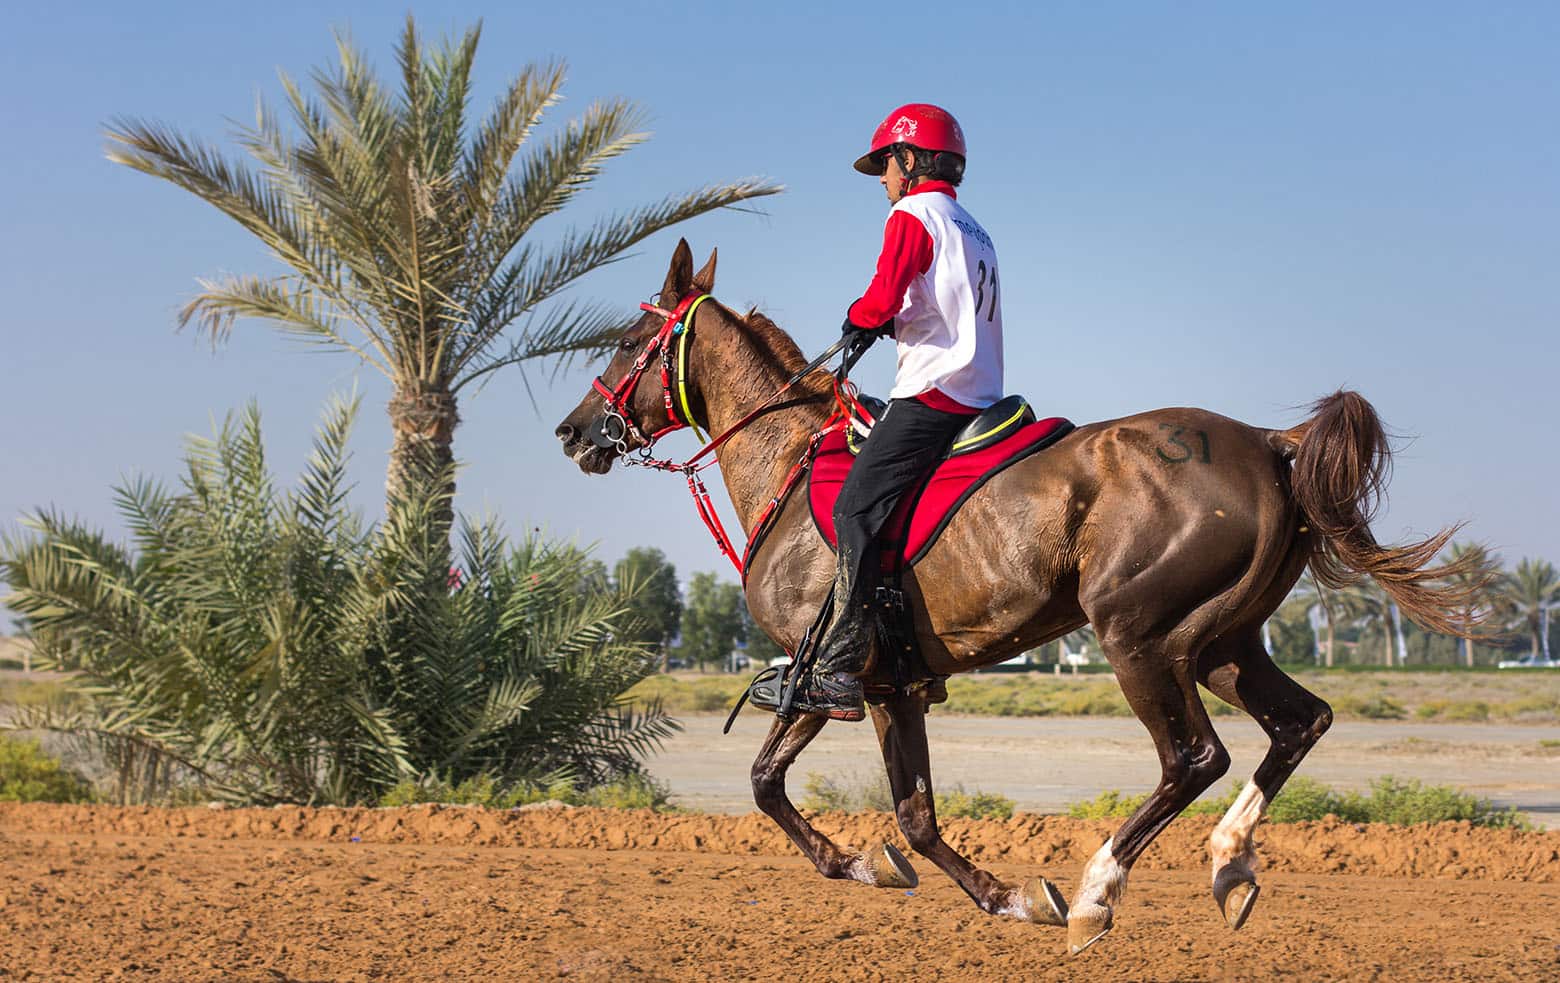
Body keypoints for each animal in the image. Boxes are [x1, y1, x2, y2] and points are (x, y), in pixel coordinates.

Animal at [554, 239, 1476, 954]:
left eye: (630, 339)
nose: (573, 431)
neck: (789, 456)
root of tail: (1268, 443)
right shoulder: (878, 685)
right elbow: (862, 803)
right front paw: (945, 881)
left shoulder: (841, 677)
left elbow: (816, 795)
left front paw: (950, 882)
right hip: (1223, 643)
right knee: (1299, 722)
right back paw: (1229, 861)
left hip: (1139, 637)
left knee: (1194, 757)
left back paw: (1100, 890)